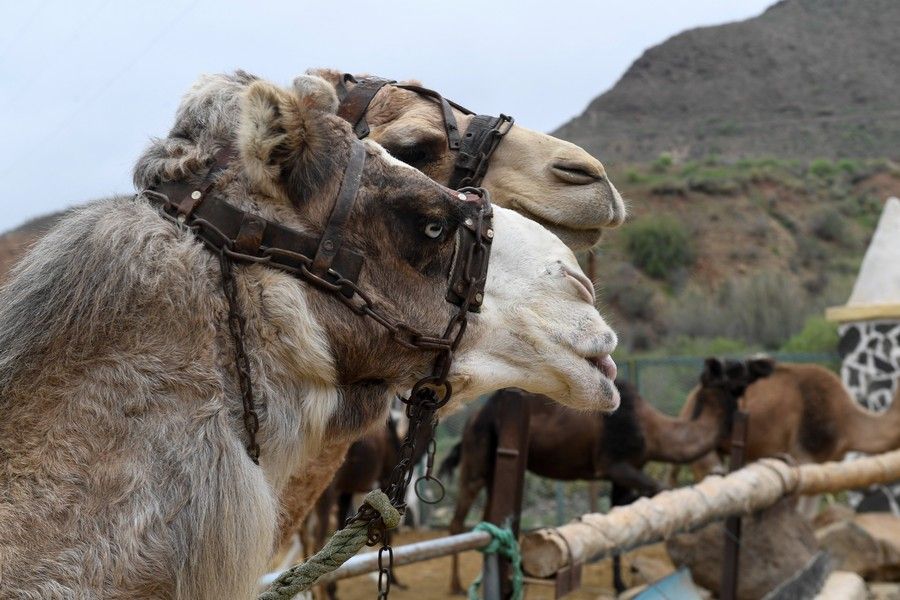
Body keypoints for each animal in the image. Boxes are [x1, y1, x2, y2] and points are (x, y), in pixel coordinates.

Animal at [440, 356, 764, 596]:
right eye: (733, 373)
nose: (757, 367)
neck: (652, 432)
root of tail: (473, 418)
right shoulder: (616, 465)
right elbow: (658, 491)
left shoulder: (623, 474)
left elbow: (620, 513)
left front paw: (620, 584)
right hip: (478, 453)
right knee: (458, 518)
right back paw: (456, 586)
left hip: (495, 464)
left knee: (488, 515)